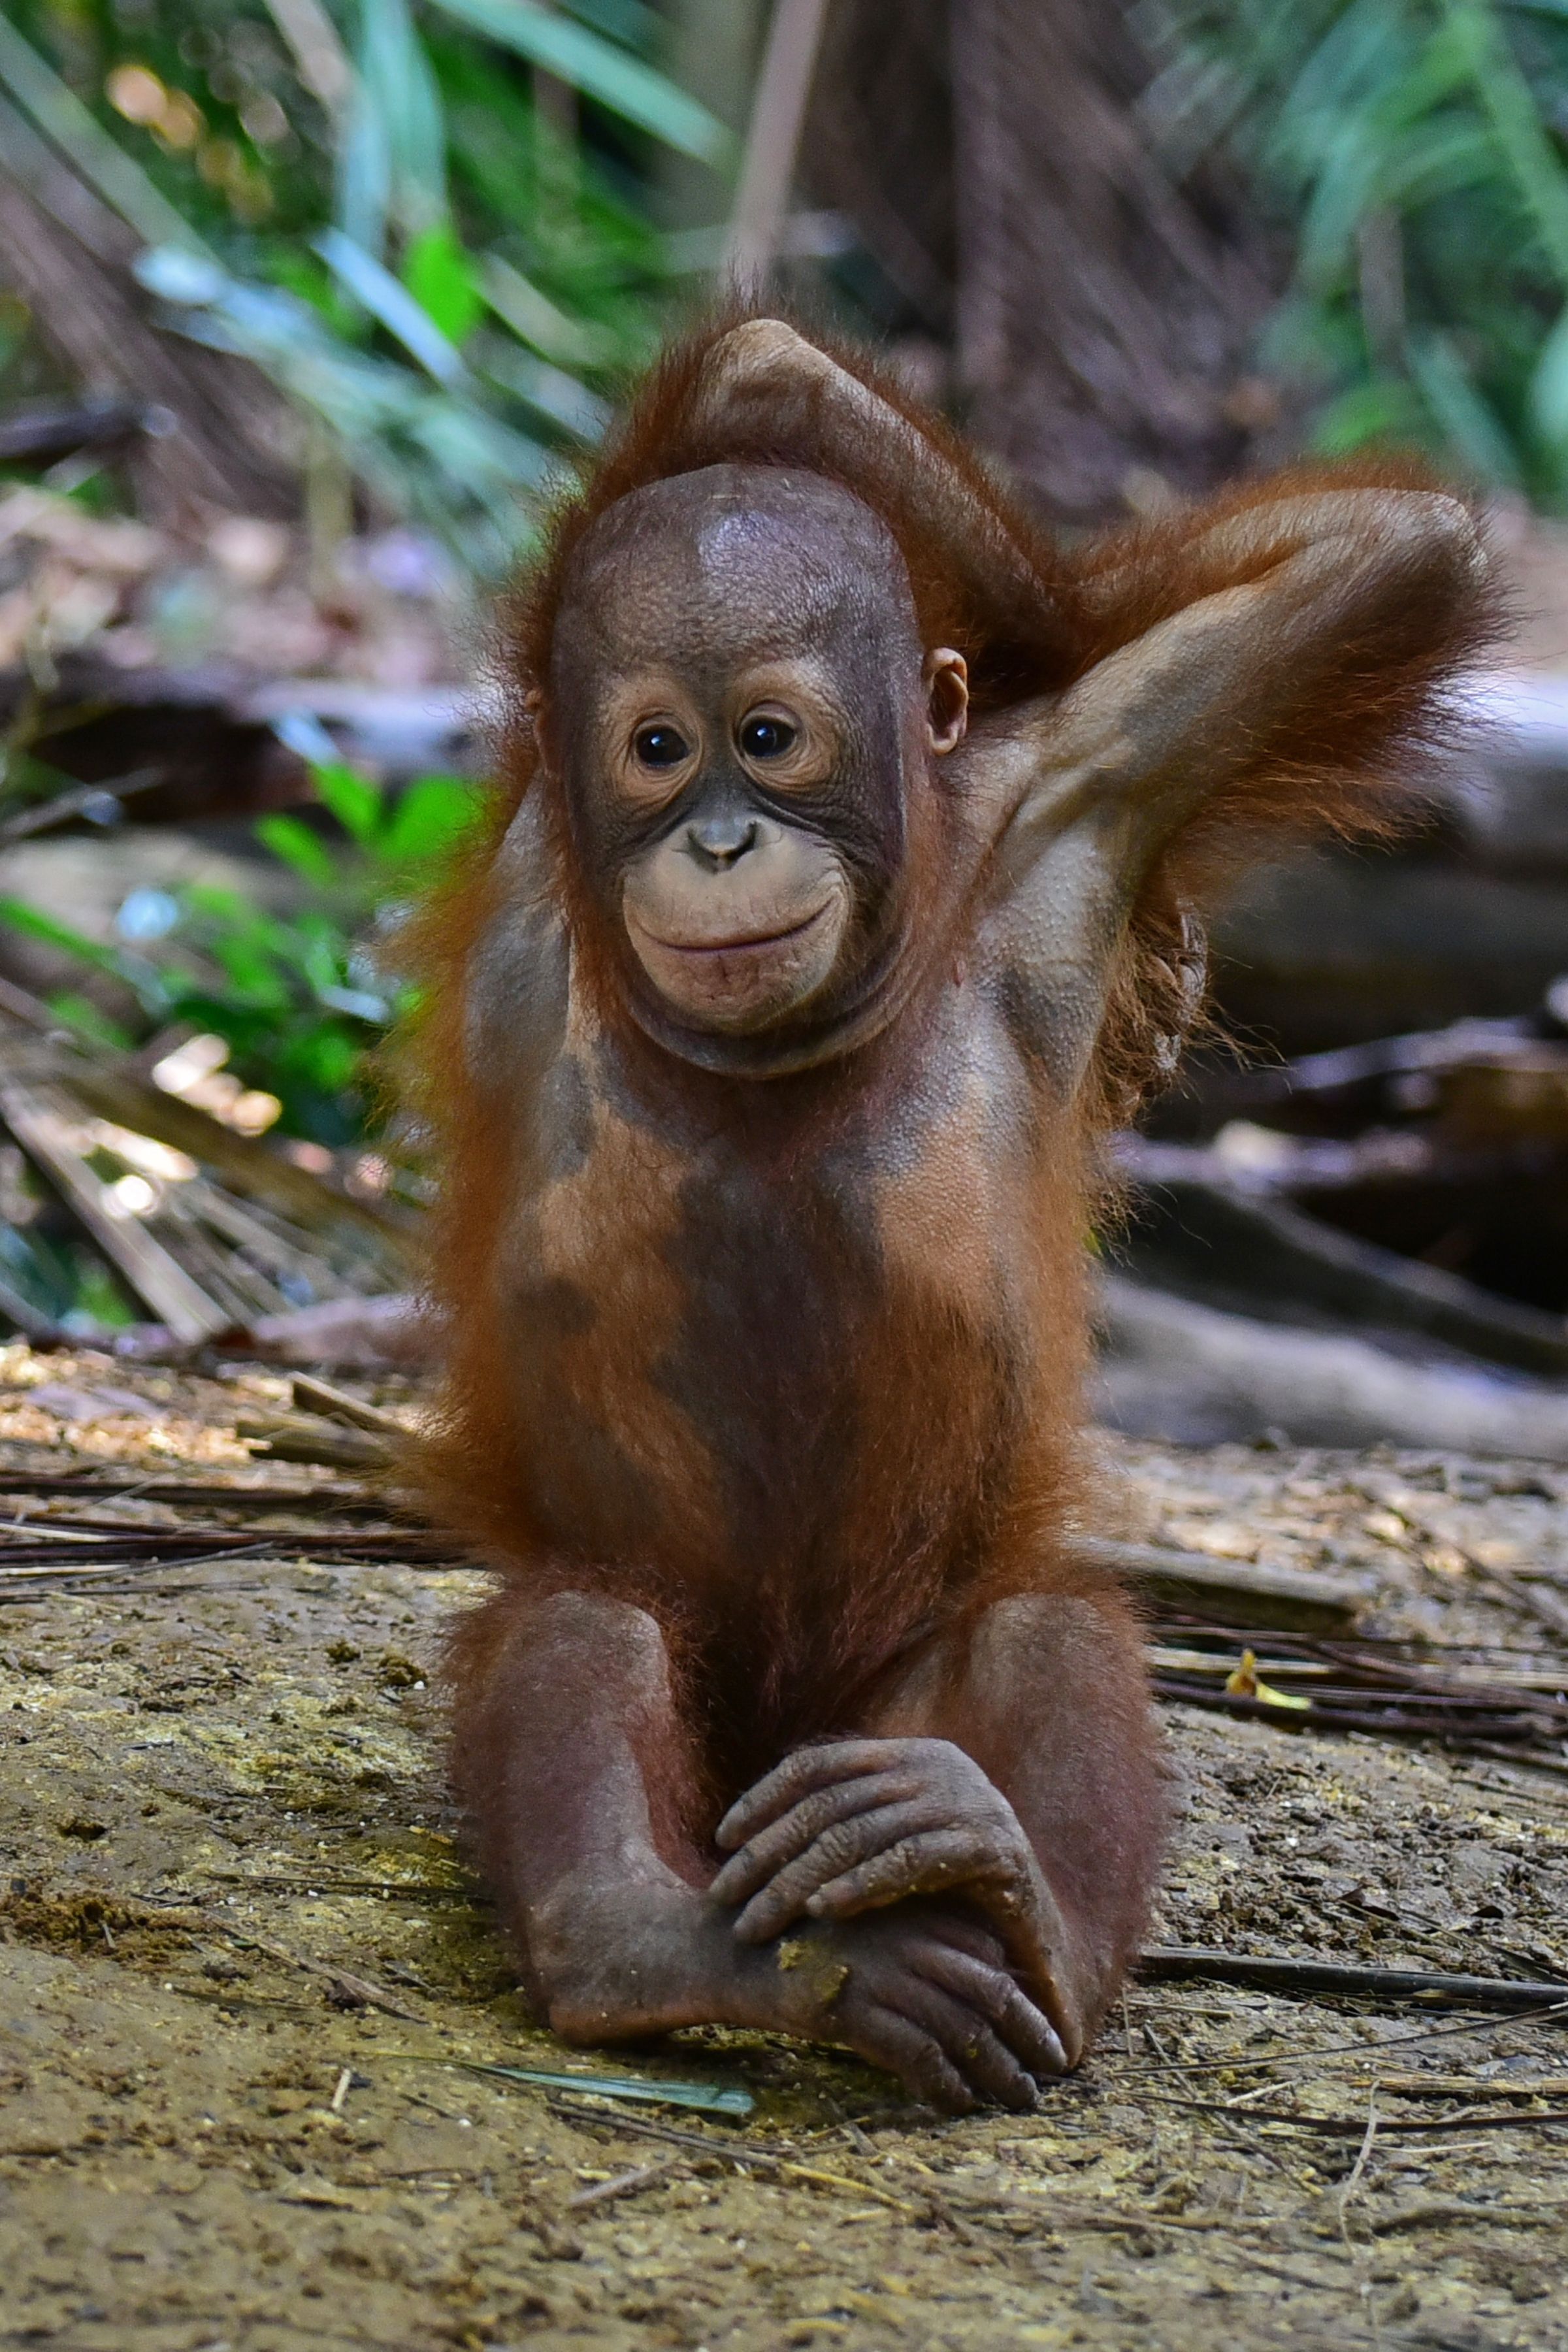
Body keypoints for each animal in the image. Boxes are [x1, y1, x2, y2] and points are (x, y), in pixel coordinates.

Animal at [410, 315, 1497, 2113]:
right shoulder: (533, 863)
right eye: (655, 749)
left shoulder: (1078, 801)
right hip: (714, 1750)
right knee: (586, 1628)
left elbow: (1385, 563)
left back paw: (1007, 1898)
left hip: (867, 1722)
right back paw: (683, 1955)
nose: (719, 839)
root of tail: (779, 1756)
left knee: (1042, 1630)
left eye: (768, 739)